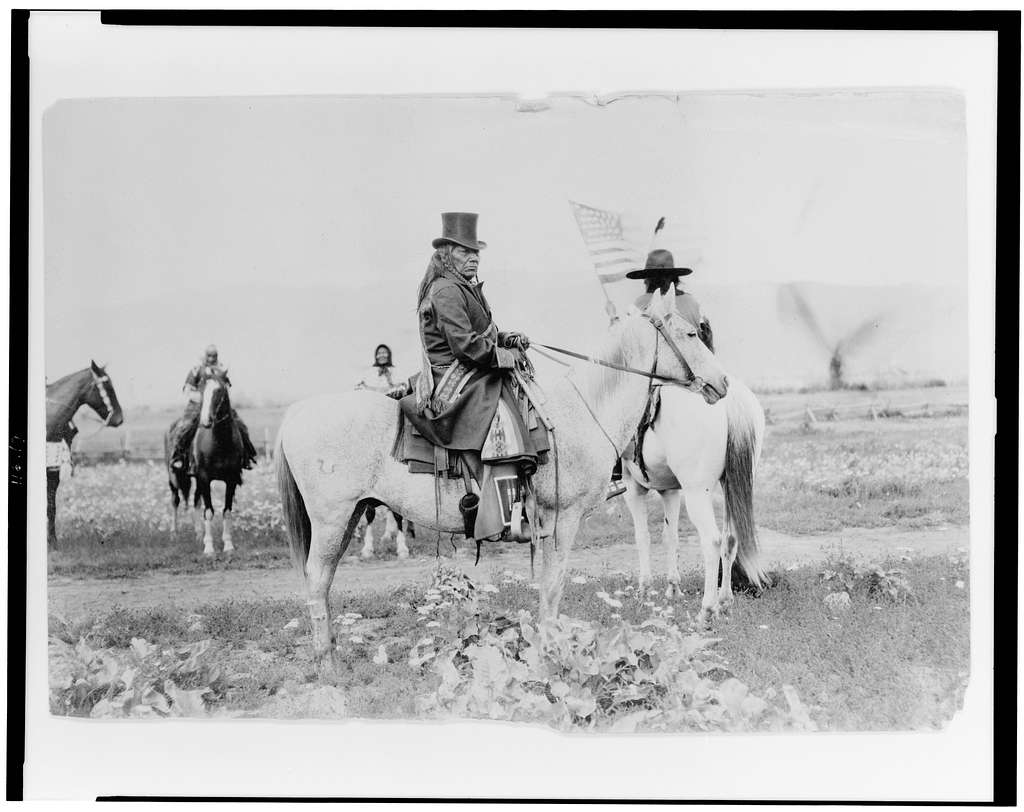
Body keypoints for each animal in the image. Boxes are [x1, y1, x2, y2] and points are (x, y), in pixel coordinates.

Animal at [274, 288, 745, 667]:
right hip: (333, 520)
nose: (723, 382)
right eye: (690, 335)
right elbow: (553, 585)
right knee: (317, 579)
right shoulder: (564, 519)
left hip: (349, 515)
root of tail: (296, 413)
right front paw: (551, 647)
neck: (583, 410)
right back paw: (327, 662)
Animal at [614, 376, 770, 622]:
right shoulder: (670, 491)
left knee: (713, 542)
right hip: (730, 487)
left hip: (696, 493)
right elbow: (670, 537)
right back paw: (724, 602)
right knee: (730, 539)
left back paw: (707, 610)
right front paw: (673, 589)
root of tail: (730, 400)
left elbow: (642, 537)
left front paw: (644, 591)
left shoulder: (633, 488)